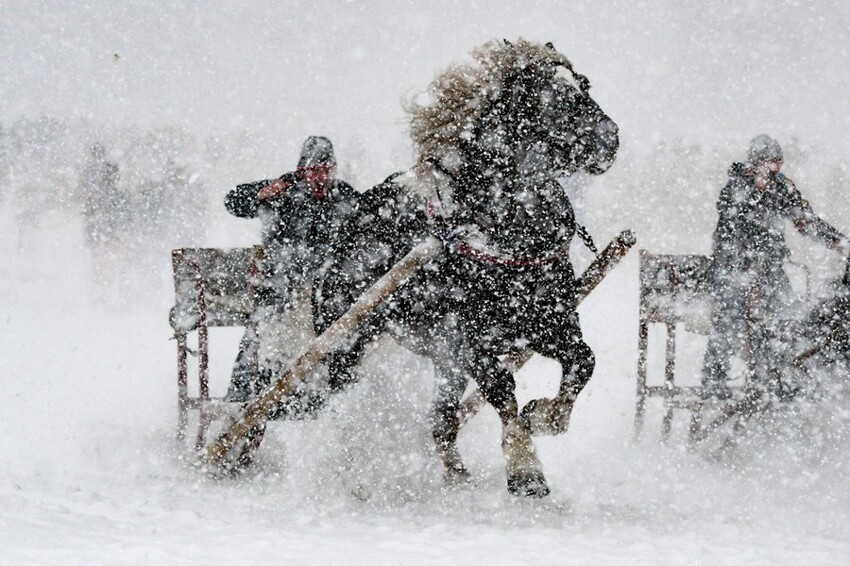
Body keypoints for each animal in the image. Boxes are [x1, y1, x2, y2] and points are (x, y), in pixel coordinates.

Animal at [312, 40, 616, 500]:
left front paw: (543, 417)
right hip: (349, 344)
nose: (610, 139)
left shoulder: (547, 323)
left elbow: (584, 360)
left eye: (584, 86)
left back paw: (456, 476)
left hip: (445, 362)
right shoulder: (473, 343)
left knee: (441, 418)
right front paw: (525, 468)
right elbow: (503, 391)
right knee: (337, 401)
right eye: (548, 98)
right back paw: (351, 473)